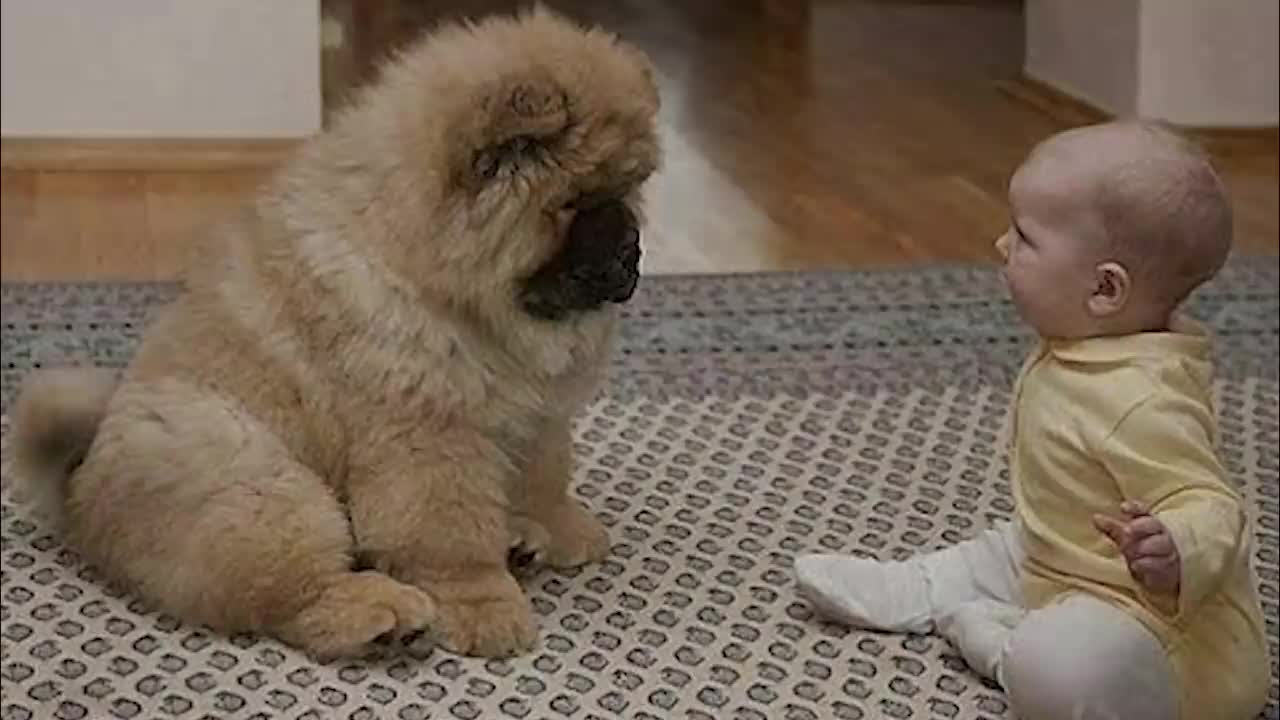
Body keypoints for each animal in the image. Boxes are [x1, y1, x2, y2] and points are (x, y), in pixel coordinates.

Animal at [12, 7, 660, 655]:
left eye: (628, 192)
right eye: (576, 203)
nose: (631, 251)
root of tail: (79, 491)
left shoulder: (535, 413)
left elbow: (544, 475)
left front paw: (559, 529)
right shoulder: (430, 435)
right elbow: (450, 536)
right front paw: (486, 610)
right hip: (262, 484)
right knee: (297, 594)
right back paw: (384, 613)